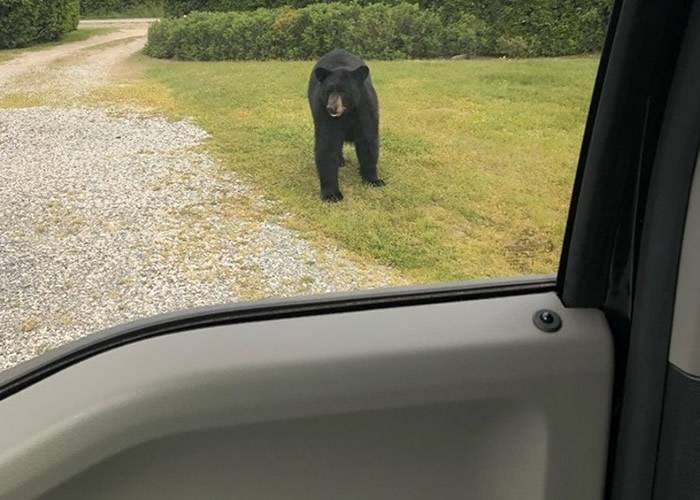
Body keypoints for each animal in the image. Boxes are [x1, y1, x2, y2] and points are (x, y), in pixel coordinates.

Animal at [306, 48, 382, 201]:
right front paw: (331, 194)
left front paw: (373, 179)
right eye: (328, 90)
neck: (348, 113)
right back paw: (340, 160)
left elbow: (368, 142)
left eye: (344, 91)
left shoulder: (365, 109)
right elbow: (327, 145)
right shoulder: (323, 114)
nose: (331, 108)